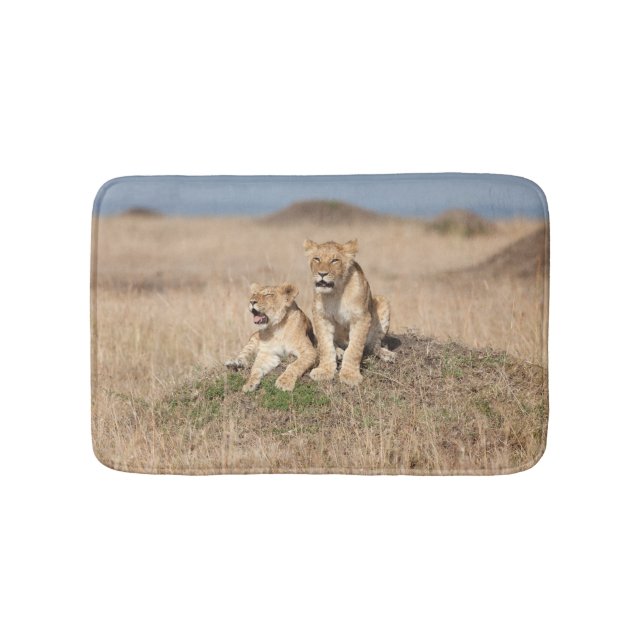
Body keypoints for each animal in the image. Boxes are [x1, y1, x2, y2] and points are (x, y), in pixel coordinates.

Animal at [303, 239, 395, 386]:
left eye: (335, 260)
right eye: (317, 259)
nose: (322, 274)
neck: (336, 292)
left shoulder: (361, 318)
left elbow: (354, 349)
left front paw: (350, 375)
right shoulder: (321, 317)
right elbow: (325, 345)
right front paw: (324, 371)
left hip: (383, 301)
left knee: (374, 345)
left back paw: (387, 354)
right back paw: (338, 351)